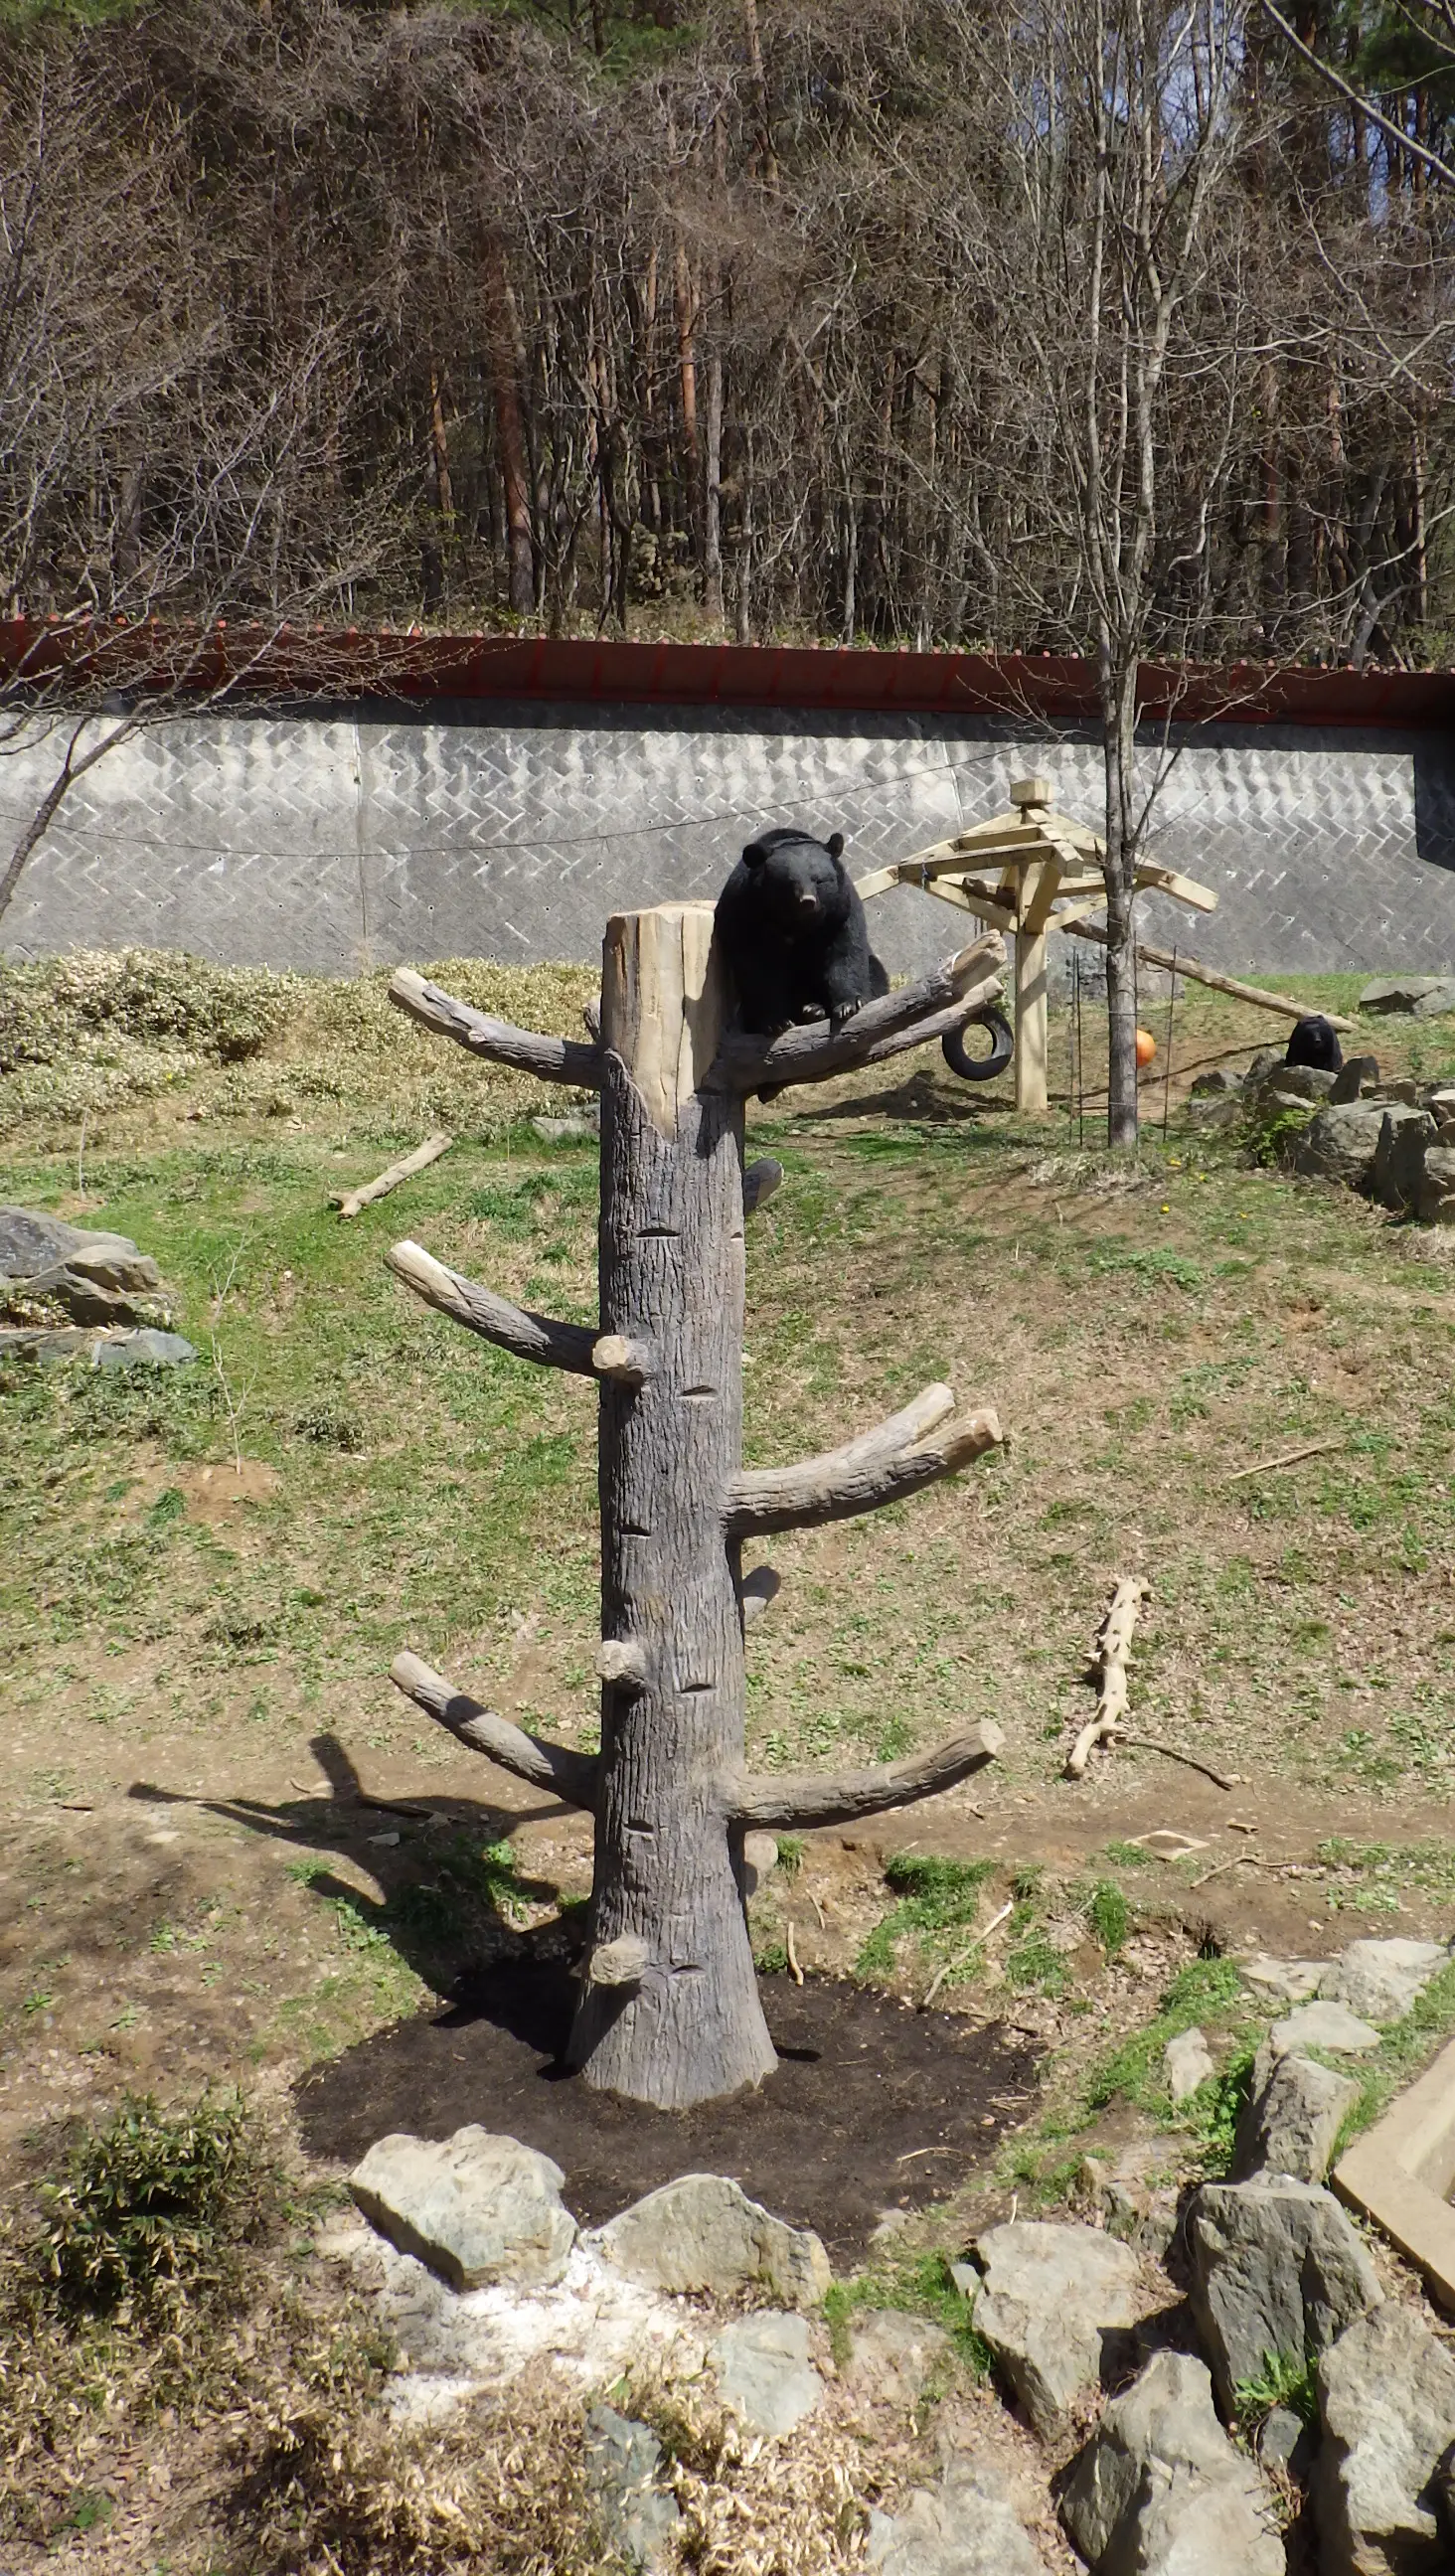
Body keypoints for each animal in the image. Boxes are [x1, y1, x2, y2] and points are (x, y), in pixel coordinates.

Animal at [711, 824, 886, 1025]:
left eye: (819, 880)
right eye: (789, 883)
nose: (808, 901)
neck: (797, 922)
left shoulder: (842, 907)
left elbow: (845, 950)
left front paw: (848, 1005)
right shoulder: (743, 910)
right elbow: (755, 963)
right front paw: (775, 1022)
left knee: (876, 971)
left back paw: (814, 1010)